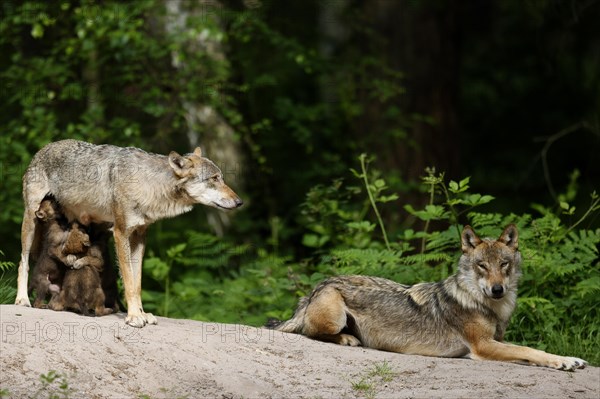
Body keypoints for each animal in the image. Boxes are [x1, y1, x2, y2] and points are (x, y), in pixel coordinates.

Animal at [15, 139, 243, 326]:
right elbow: (129, 282)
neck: (148, 184)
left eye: (222, 178)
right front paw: (134, 317)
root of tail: (42, 149)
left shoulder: (140, 236)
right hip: (30, 222)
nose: (240, 202)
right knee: (23, 262)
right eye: (214, 178)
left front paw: (142, 314)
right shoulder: (121, 233)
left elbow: (137, 282)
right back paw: (22, 300)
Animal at [270, 225, 584, 372]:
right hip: (334, 316)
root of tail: (317, 286)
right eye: (482, 265)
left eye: (503, 265)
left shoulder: (497, 340)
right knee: (311, 333)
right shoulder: (482, 346)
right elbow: (532, 350)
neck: (487, 305)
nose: (497, 289)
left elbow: (527, 350)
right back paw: (348, 339)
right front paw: (566, 361)